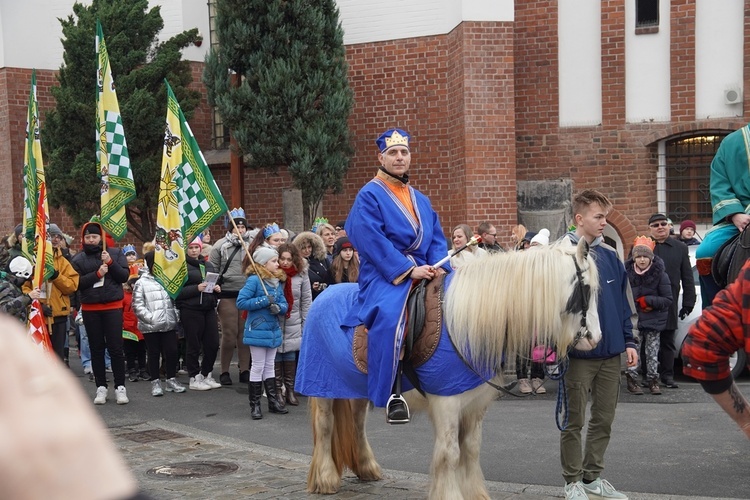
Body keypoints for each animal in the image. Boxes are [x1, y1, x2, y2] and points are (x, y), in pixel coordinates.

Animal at [296, 239, 604, 500]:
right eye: (587, 289)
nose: (595, 339)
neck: (464, 323)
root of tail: (324, 295)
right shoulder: (446, 404)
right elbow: (450, 454)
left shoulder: (474, 405)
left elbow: (471, 449)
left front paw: (475, 493)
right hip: (322, 388)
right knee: (324, 427)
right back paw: (325, 479)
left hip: (359, 389)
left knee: (357, 424)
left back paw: (367, 468)